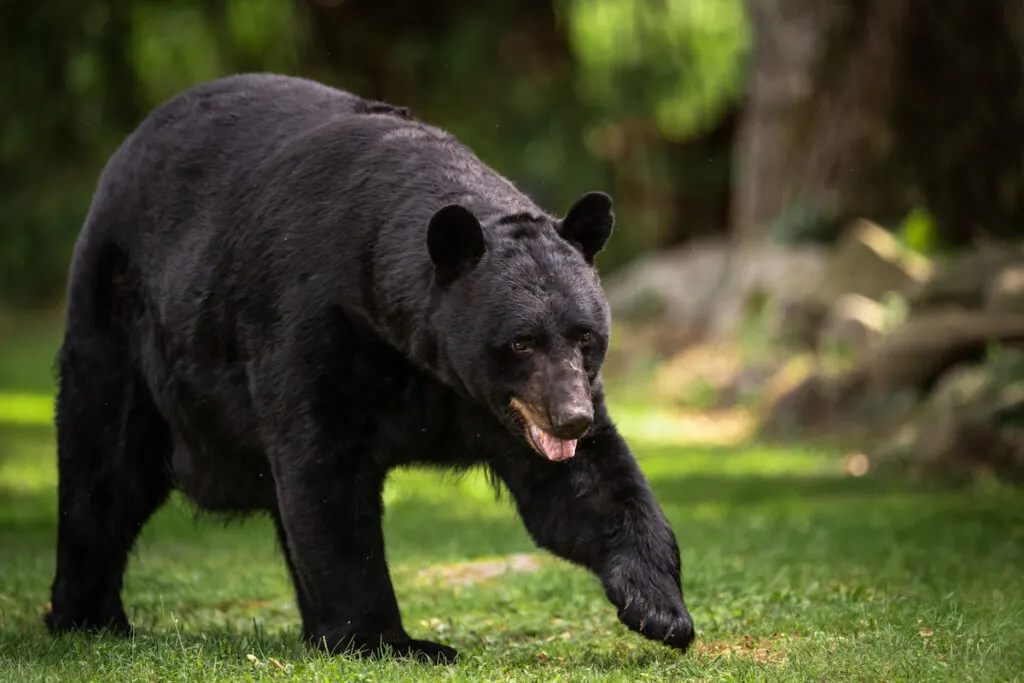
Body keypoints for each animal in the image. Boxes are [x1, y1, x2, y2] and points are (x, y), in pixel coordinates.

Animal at [48, 73, 696, 663]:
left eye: (585, 335)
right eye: (520, 342)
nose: (570, 418)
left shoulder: (488, 401)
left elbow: (586, 484)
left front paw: (659, 608)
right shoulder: (316, 328)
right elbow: (326, 479)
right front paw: (394, 642)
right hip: (122, 324)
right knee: (104, 465)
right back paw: (87, 617)